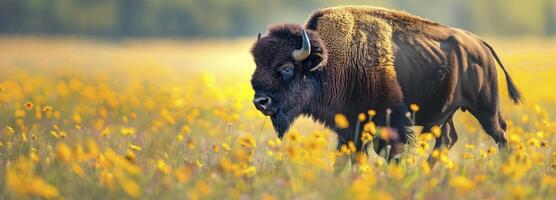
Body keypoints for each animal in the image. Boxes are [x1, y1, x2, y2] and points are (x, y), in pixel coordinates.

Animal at [250, 6, 520, 163]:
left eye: (286, 68)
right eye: (257, 65)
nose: (260, 101)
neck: (331, 61)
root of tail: (479, 43)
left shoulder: (391, 125)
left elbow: (391, 154)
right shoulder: (350, 128)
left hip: (485, 108)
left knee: (500, 134)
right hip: (445, 113)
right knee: (447, 139)